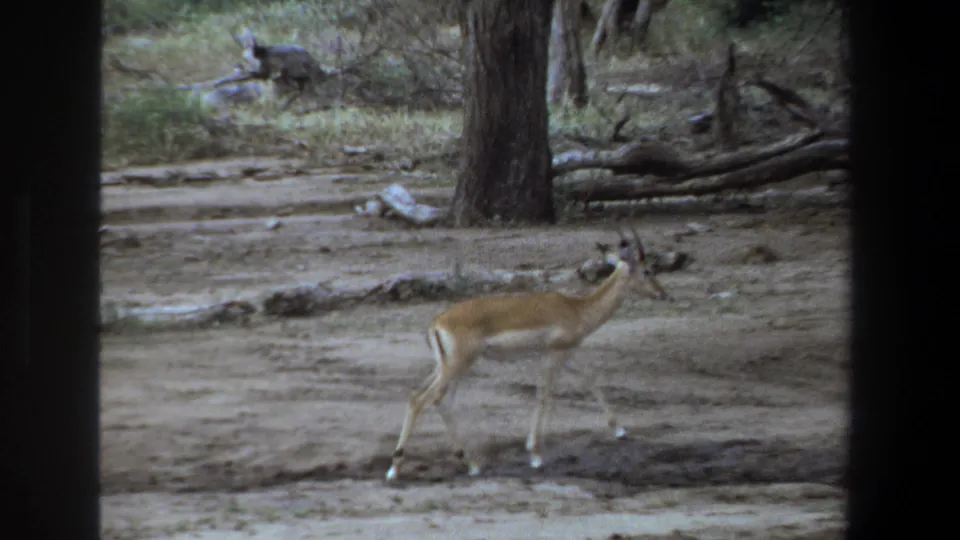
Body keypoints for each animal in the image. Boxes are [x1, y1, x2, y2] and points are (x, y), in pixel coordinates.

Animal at [386, 227, 672, 481]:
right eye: (647, 269)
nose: (663, 294)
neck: (577, 309)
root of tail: (437, 322)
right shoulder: (552, 355)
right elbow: (544, 395)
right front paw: (535, 455)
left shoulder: (568, 352)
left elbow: (589, 379)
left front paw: (621, 430)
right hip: (458, 366)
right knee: (424, 400)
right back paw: (396, 470)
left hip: (447, 368)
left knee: (428, 398)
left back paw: (472, 465)